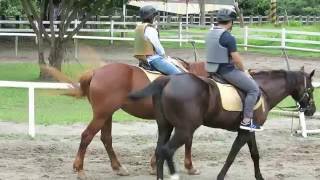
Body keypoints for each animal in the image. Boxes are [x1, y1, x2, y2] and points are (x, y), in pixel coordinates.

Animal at [47, 60, 206, 176]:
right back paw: (79, 169)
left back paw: (118, 167)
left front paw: (155, 165)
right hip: (102, 115)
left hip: (106, 115)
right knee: (87, 136)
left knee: (106, 138)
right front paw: (190, 167)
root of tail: (96, 71)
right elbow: (187, 141)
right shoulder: (185, 122)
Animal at [129, 68, 316, 179]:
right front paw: (221, 176)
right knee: (167, 151)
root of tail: (167, 80)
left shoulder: (249, 131)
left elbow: (255, 154)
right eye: (312, 89)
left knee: (159, 151)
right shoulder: (244, 133)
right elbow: (232, 156)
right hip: (185, 130)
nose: (312, 110)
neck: (262, 91)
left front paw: (259, 177)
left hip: (165, 127)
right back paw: (175, 175)